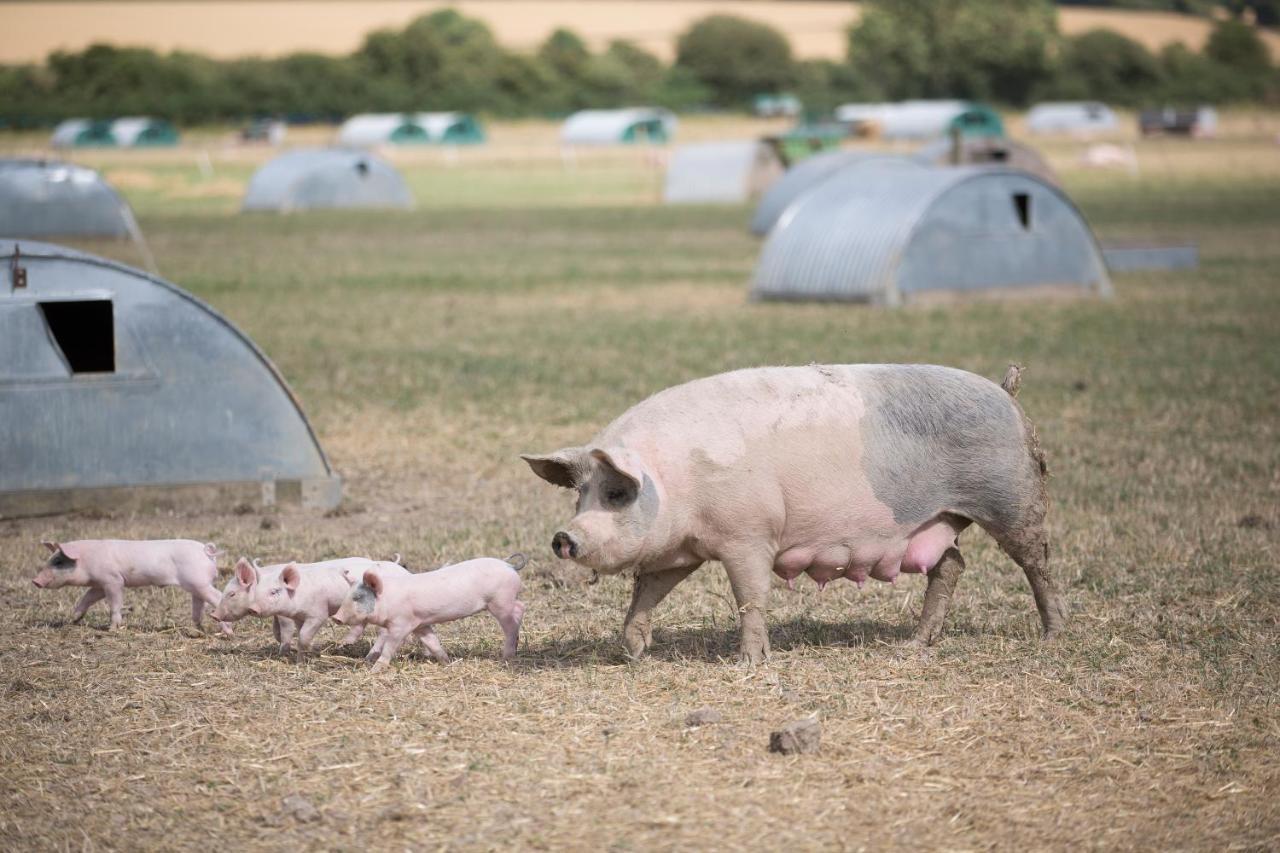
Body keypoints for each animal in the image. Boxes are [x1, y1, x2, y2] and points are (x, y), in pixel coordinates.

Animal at [32, 537, 230, 630]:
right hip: (196, 585)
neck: (87, 560)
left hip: (199, 582)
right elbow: (86, 598)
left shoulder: (113, 580)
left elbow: (115, 603)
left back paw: (227, 632)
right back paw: (197, 628)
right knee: (199, 605)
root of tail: (205, 550)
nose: (35, 581)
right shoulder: (99, 585)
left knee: (218, 597)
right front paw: (73, 619)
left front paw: (111, 629)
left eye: (58, 561)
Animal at [335, 555, 529, 666]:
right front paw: (447, 662)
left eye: (358, 597)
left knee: (515, 615)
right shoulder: (420, 624)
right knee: (520, 608)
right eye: (347, 595)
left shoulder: (401, 623)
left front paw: (376, 669)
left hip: (500, 601)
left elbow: (390, 645)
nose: (336, 617)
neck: (388, 599)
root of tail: (509, 566)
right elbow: (432, 642)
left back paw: (506, 657)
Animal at [524, 361, 1064, 660]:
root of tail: (1006, 392)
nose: (564, 537)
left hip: (1012, 496)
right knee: (951, 564)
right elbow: (646, 594)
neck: (677, 479)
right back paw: (915, 645)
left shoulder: (749, 534)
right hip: (936, 521)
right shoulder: (680, 551)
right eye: (580, 494)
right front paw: (635, 654)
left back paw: (1052, 636)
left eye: (617, 494)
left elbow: (750, 597)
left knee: (1037, 561)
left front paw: (750, 662)